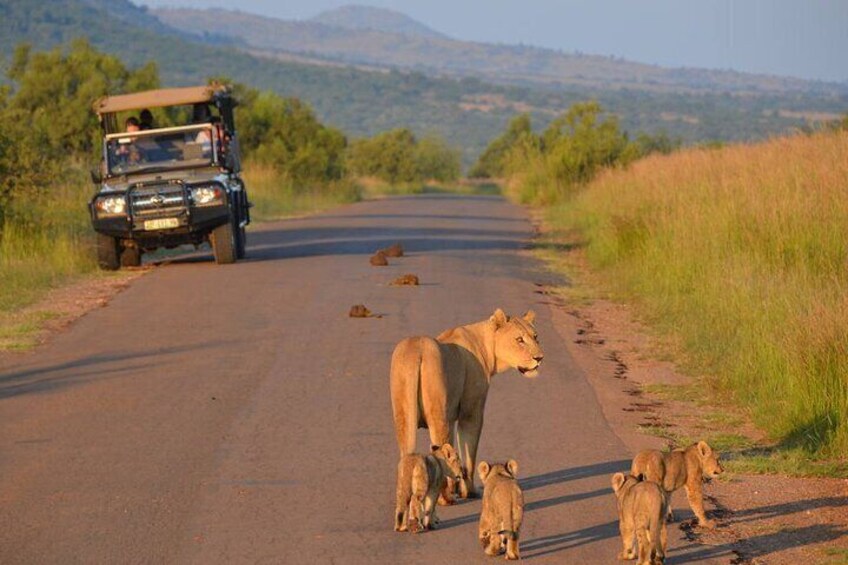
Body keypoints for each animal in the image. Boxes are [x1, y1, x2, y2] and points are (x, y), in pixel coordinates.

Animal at [390, 308, 544, 498]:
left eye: (536, 337)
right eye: (519, 340)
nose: (539, 358)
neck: (486, 345)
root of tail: (417, 349)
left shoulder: (452, 416)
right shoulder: (470, 413)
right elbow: (469, 453)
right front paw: (469, 490)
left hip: (404, 415)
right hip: (437, 415)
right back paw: (445, 497)